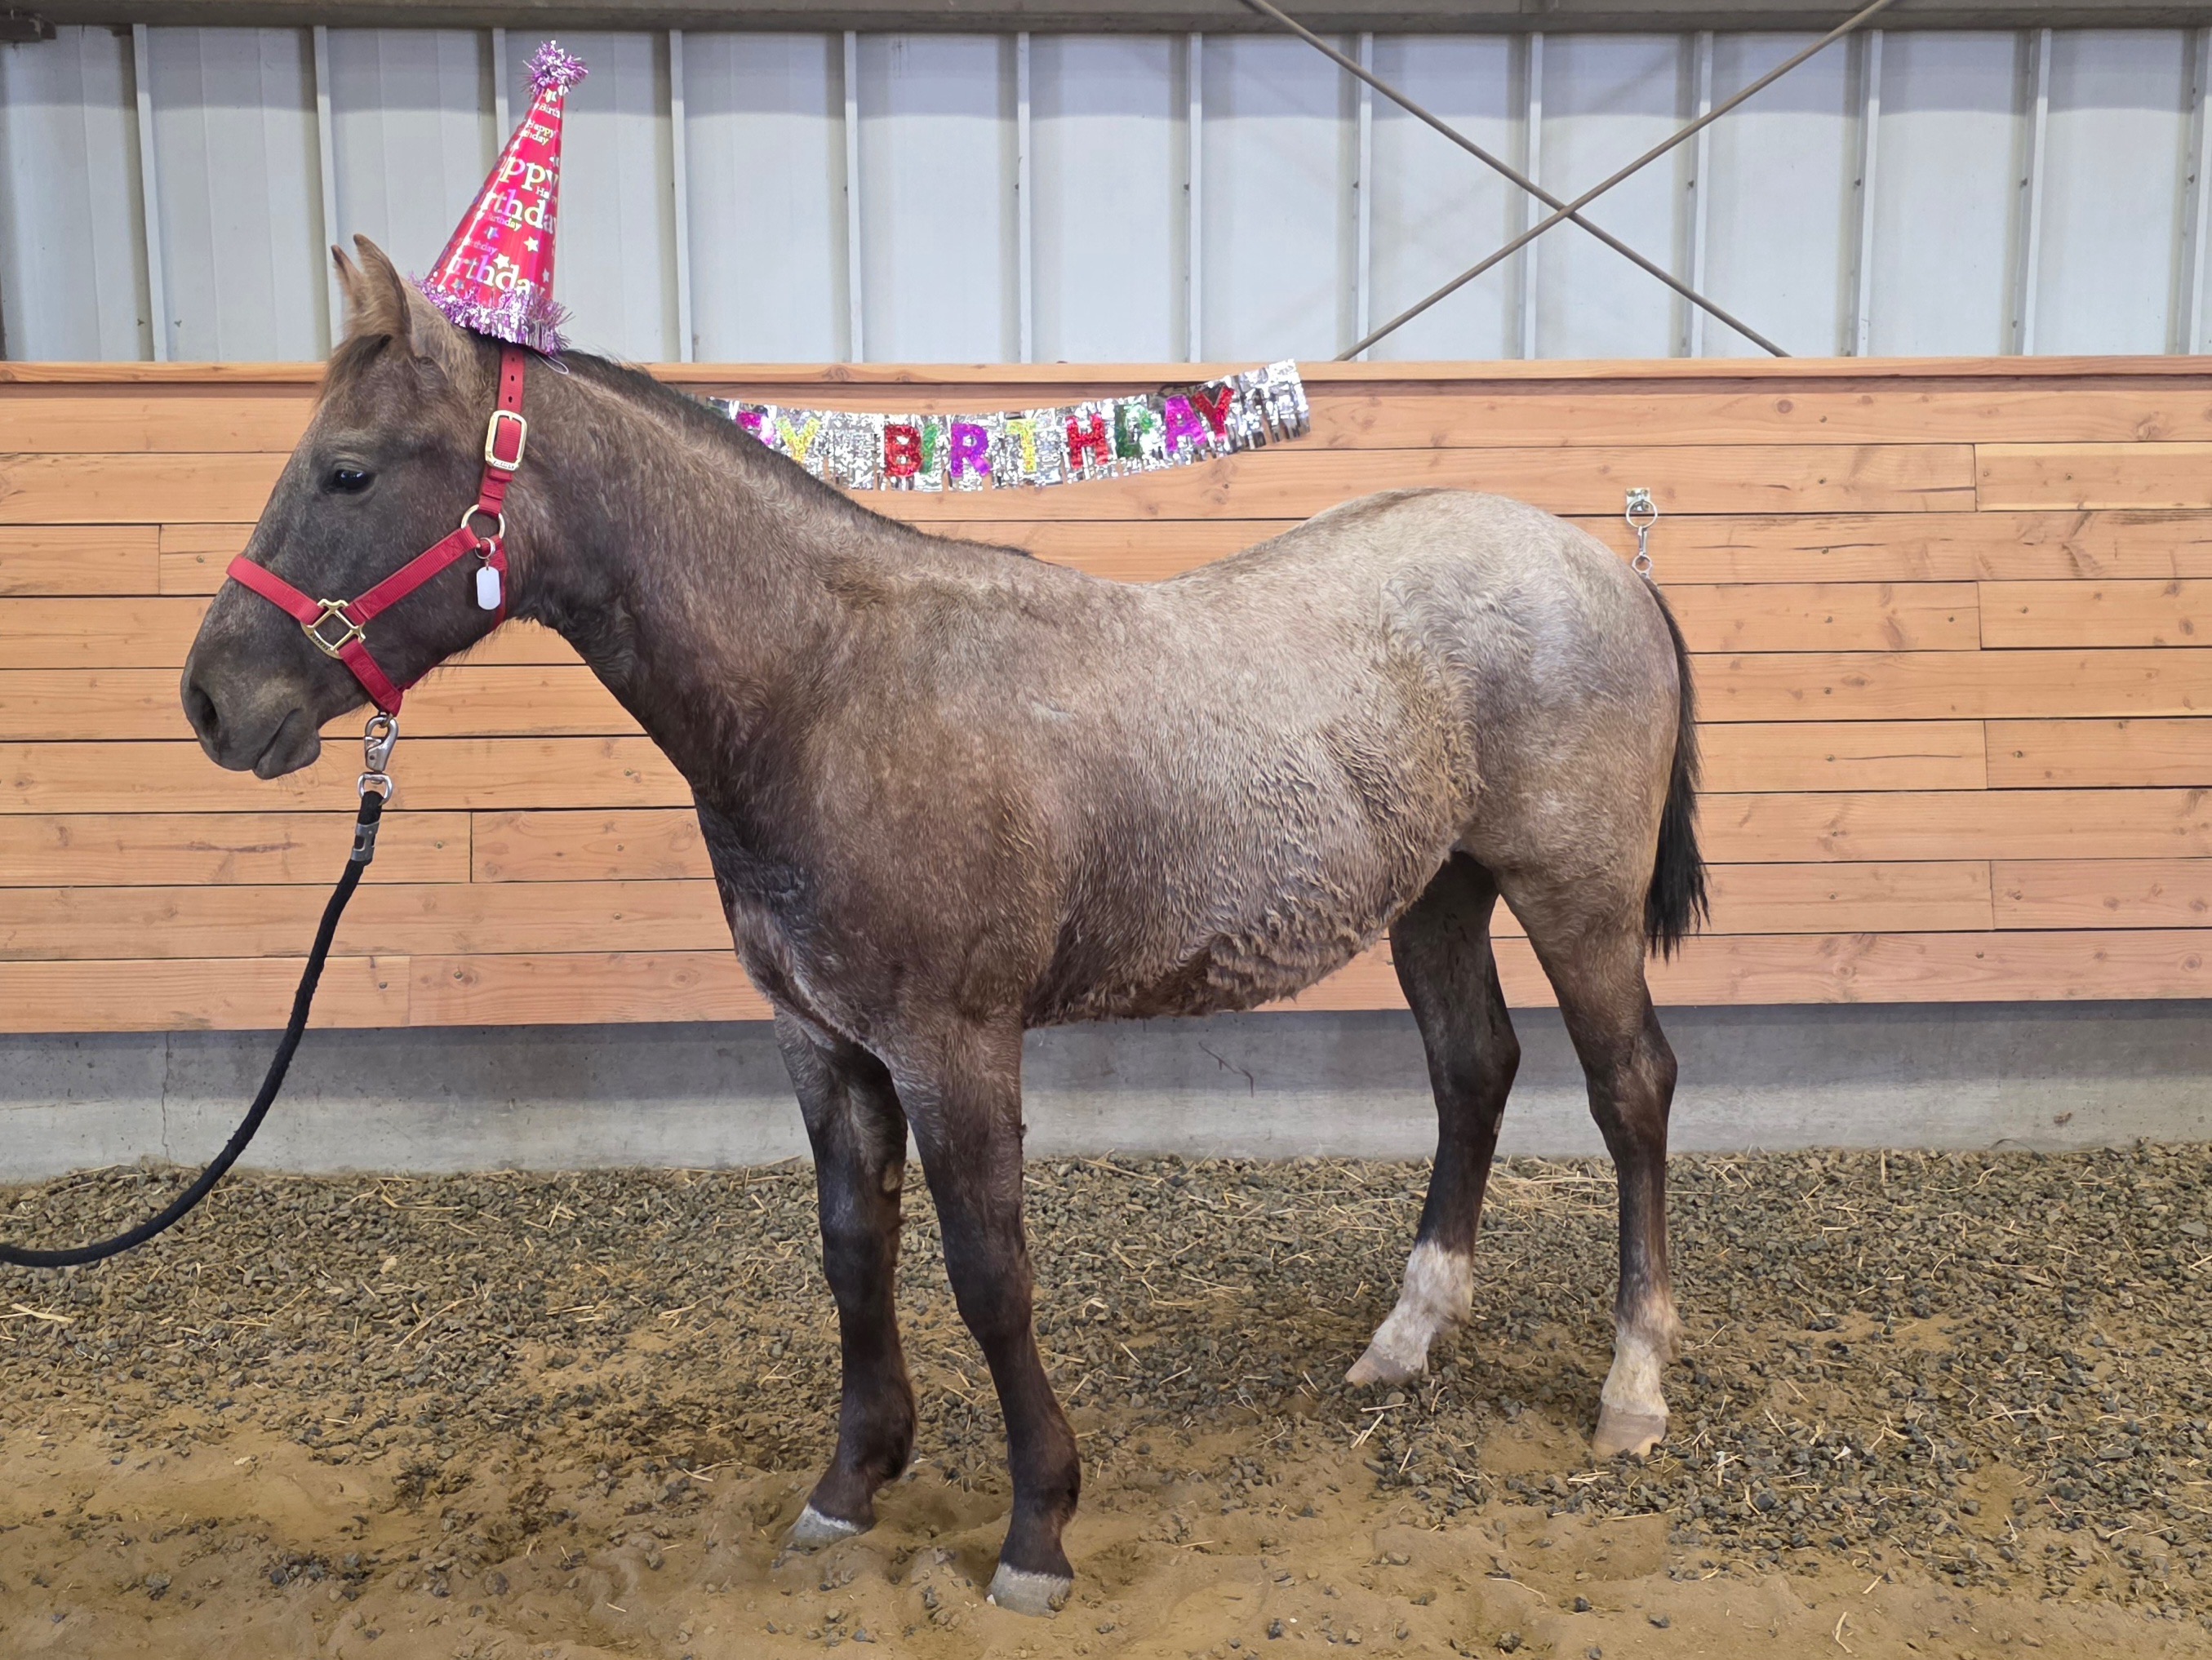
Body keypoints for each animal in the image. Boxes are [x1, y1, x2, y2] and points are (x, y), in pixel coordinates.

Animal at [181, 237, 1706, 1615]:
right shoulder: (820, 1037)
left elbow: (989, 1271)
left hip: (1572, 896)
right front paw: (852, 1480)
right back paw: (1407, 1334)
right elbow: (854, 1246)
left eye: (349, 469)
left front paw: (1038, 1525)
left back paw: (1633, 1385)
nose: (210, 698)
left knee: (1631, 1087)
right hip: (1437, 893)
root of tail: (1607, 563)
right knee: (1473, 1070)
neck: (826, 688)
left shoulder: (952, 1042)